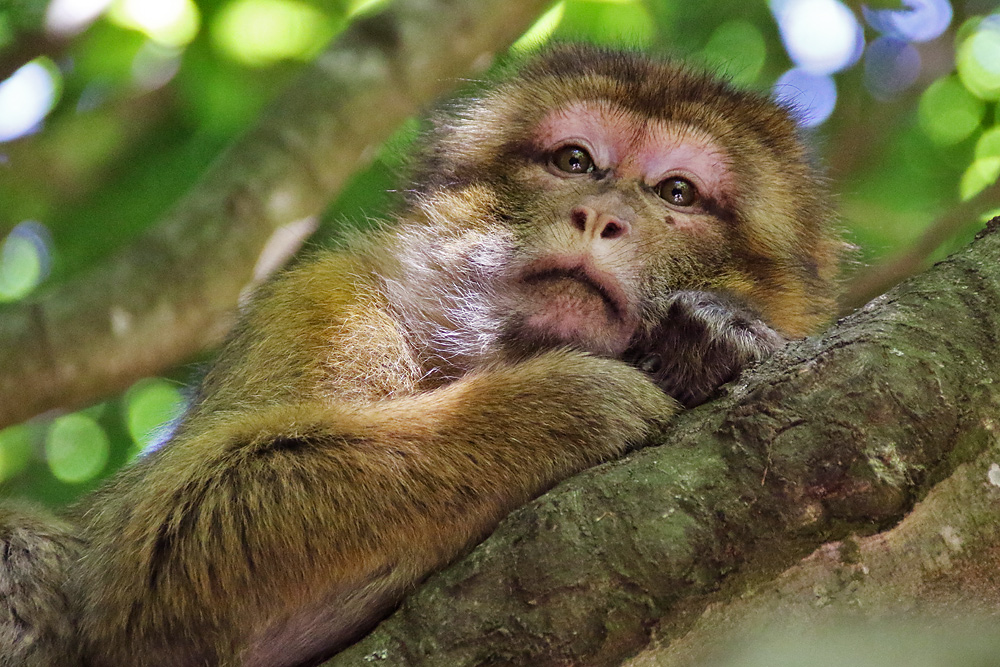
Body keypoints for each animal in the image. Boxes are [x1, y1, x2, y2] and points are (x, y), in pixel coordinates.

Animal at [0, 44, 844, 664]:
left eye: (676, 194)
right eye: (575, 161)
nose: (600, 215)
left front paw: (715, 341)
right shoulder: (324, 306)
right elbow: (162, 548)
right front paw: (571, 401)